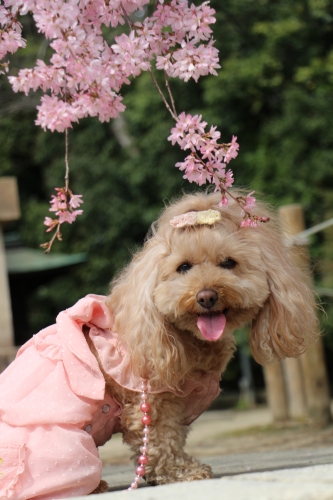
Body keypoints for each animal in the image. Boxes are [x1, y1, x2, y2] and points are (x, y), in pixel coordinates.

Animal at [0, 190, 316, 496]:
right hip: (69, 451)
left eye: (229, 263)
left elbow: (169, 438)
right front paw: (183, 472)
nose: (207, 296)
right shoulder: (152, 401)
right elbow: (162, 440)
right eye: (183, 267)